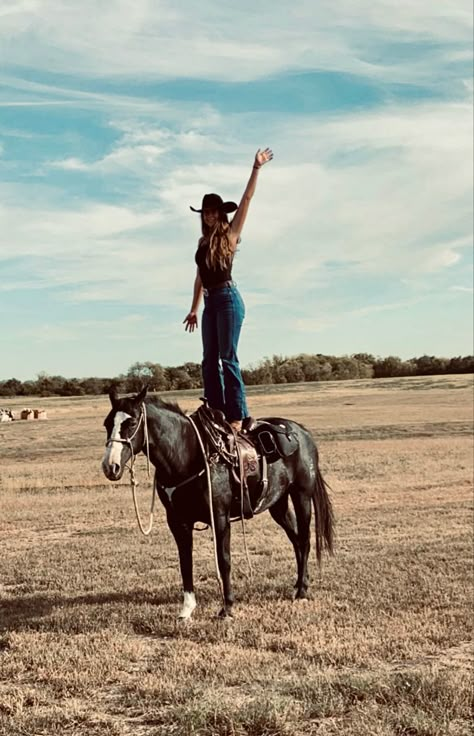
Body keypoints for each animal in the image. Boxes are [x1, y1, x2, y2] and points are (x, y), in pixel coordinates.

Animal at [103, 388, 334, 620]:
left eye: (131, 422)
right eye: (106, 424)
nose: (110, 467)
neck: (188, 455)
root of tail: (302, 433)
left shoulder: (220, 517)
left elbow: (224, 560)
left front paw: (227, 607)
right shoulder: (178, 521)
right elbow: (185, 561)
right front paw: (187, 609)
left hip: (302, 496)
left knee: (304, 539)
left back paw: (302, 590)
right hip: (278, 503)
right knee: (296, 540)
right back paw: (298, 585)